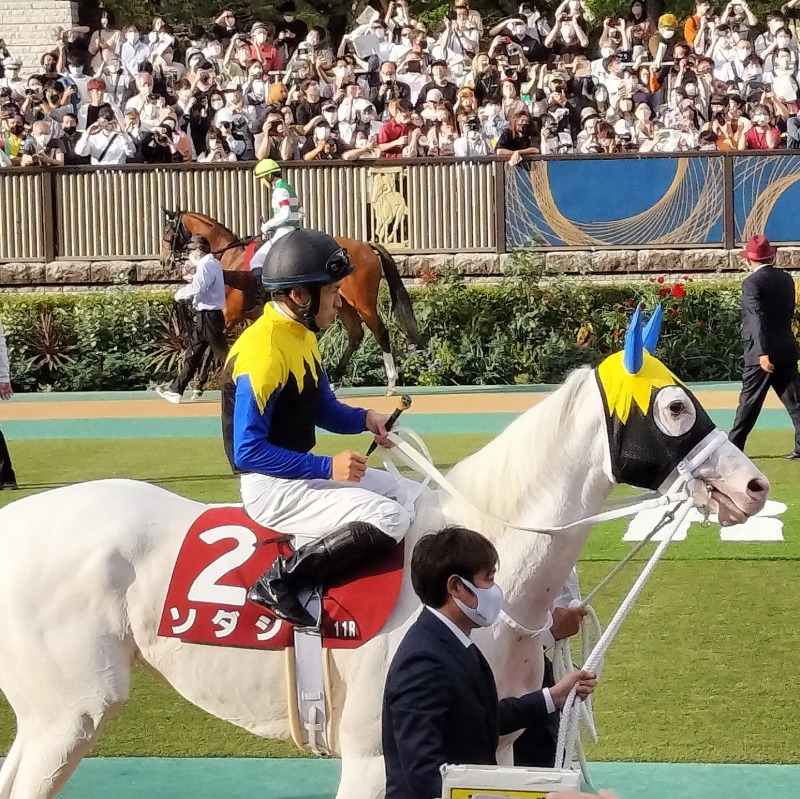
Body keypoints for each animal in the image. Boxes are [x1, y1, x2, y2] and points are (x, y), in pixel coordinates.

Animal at [159, 208, 428, 392]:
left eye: (167, 232)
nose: (164, 262)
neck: (230, 258)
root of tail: (366, 244)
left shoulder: (231, 313)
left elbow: (207, 342)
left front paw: (196, 384)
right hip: (342, 305)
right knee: (355, 334)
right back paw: (335, 378)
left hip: (362, 302)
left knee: (380, 331)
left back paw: (391, 381)